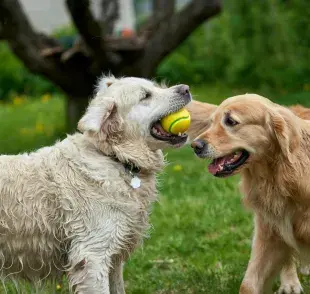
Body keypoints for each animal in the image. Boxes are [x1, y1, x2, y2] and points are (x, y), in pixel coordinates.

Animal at [0, 77, 191, 292]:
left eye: (156, 86)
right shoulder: (93, 255)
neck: (115, 157)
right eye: (145, 96)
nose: (186, 89)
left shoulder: (114, 258)